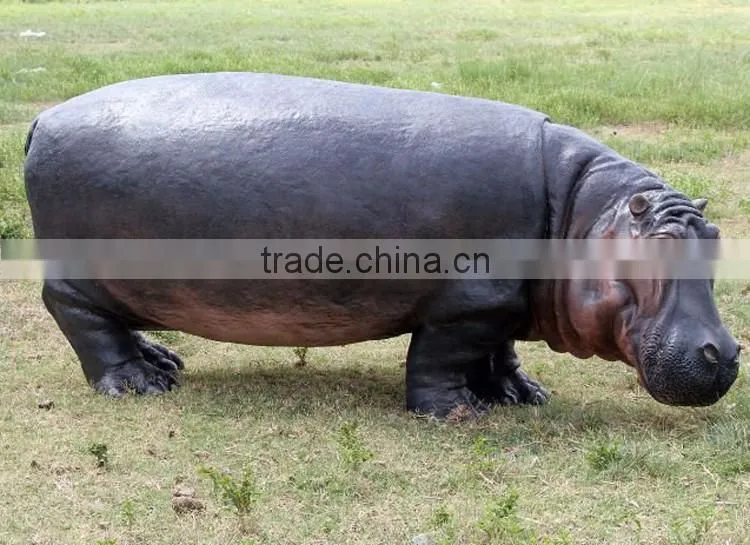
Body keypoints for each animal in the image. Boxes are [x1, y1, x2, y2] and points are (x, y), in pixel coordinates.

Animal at [22, 72, 741, 419]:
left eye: (713, 239)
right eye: (652, 252)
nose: (727, 353)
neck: (582, 212)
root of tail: (44, 117)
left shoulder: (503, 303)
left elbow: (501, 351)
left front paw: (522, 395)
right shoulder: (466, 305)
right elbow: (440, 359)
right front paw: (456, 414)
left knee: (115, 322)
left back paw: (164, 360)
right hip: (82, 276)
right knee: (79, 316)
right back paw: (139, 384)